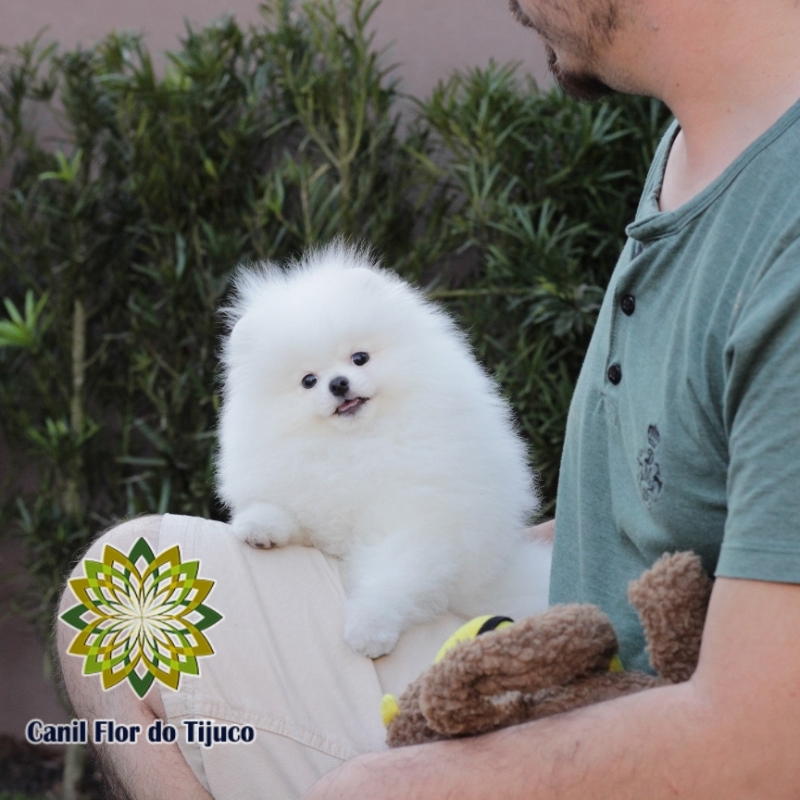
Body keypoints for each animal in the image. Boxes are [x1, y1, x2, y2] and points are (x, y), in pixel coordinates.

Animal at [216, 242, 552, 656]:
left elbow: (392, 578)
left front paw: (369, 627)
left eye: (359, 358)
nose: (339, 384)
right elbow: (290, 513)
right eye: (308, 381)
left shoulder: (416, 522)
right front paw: (258, 525)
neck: (356, 443)